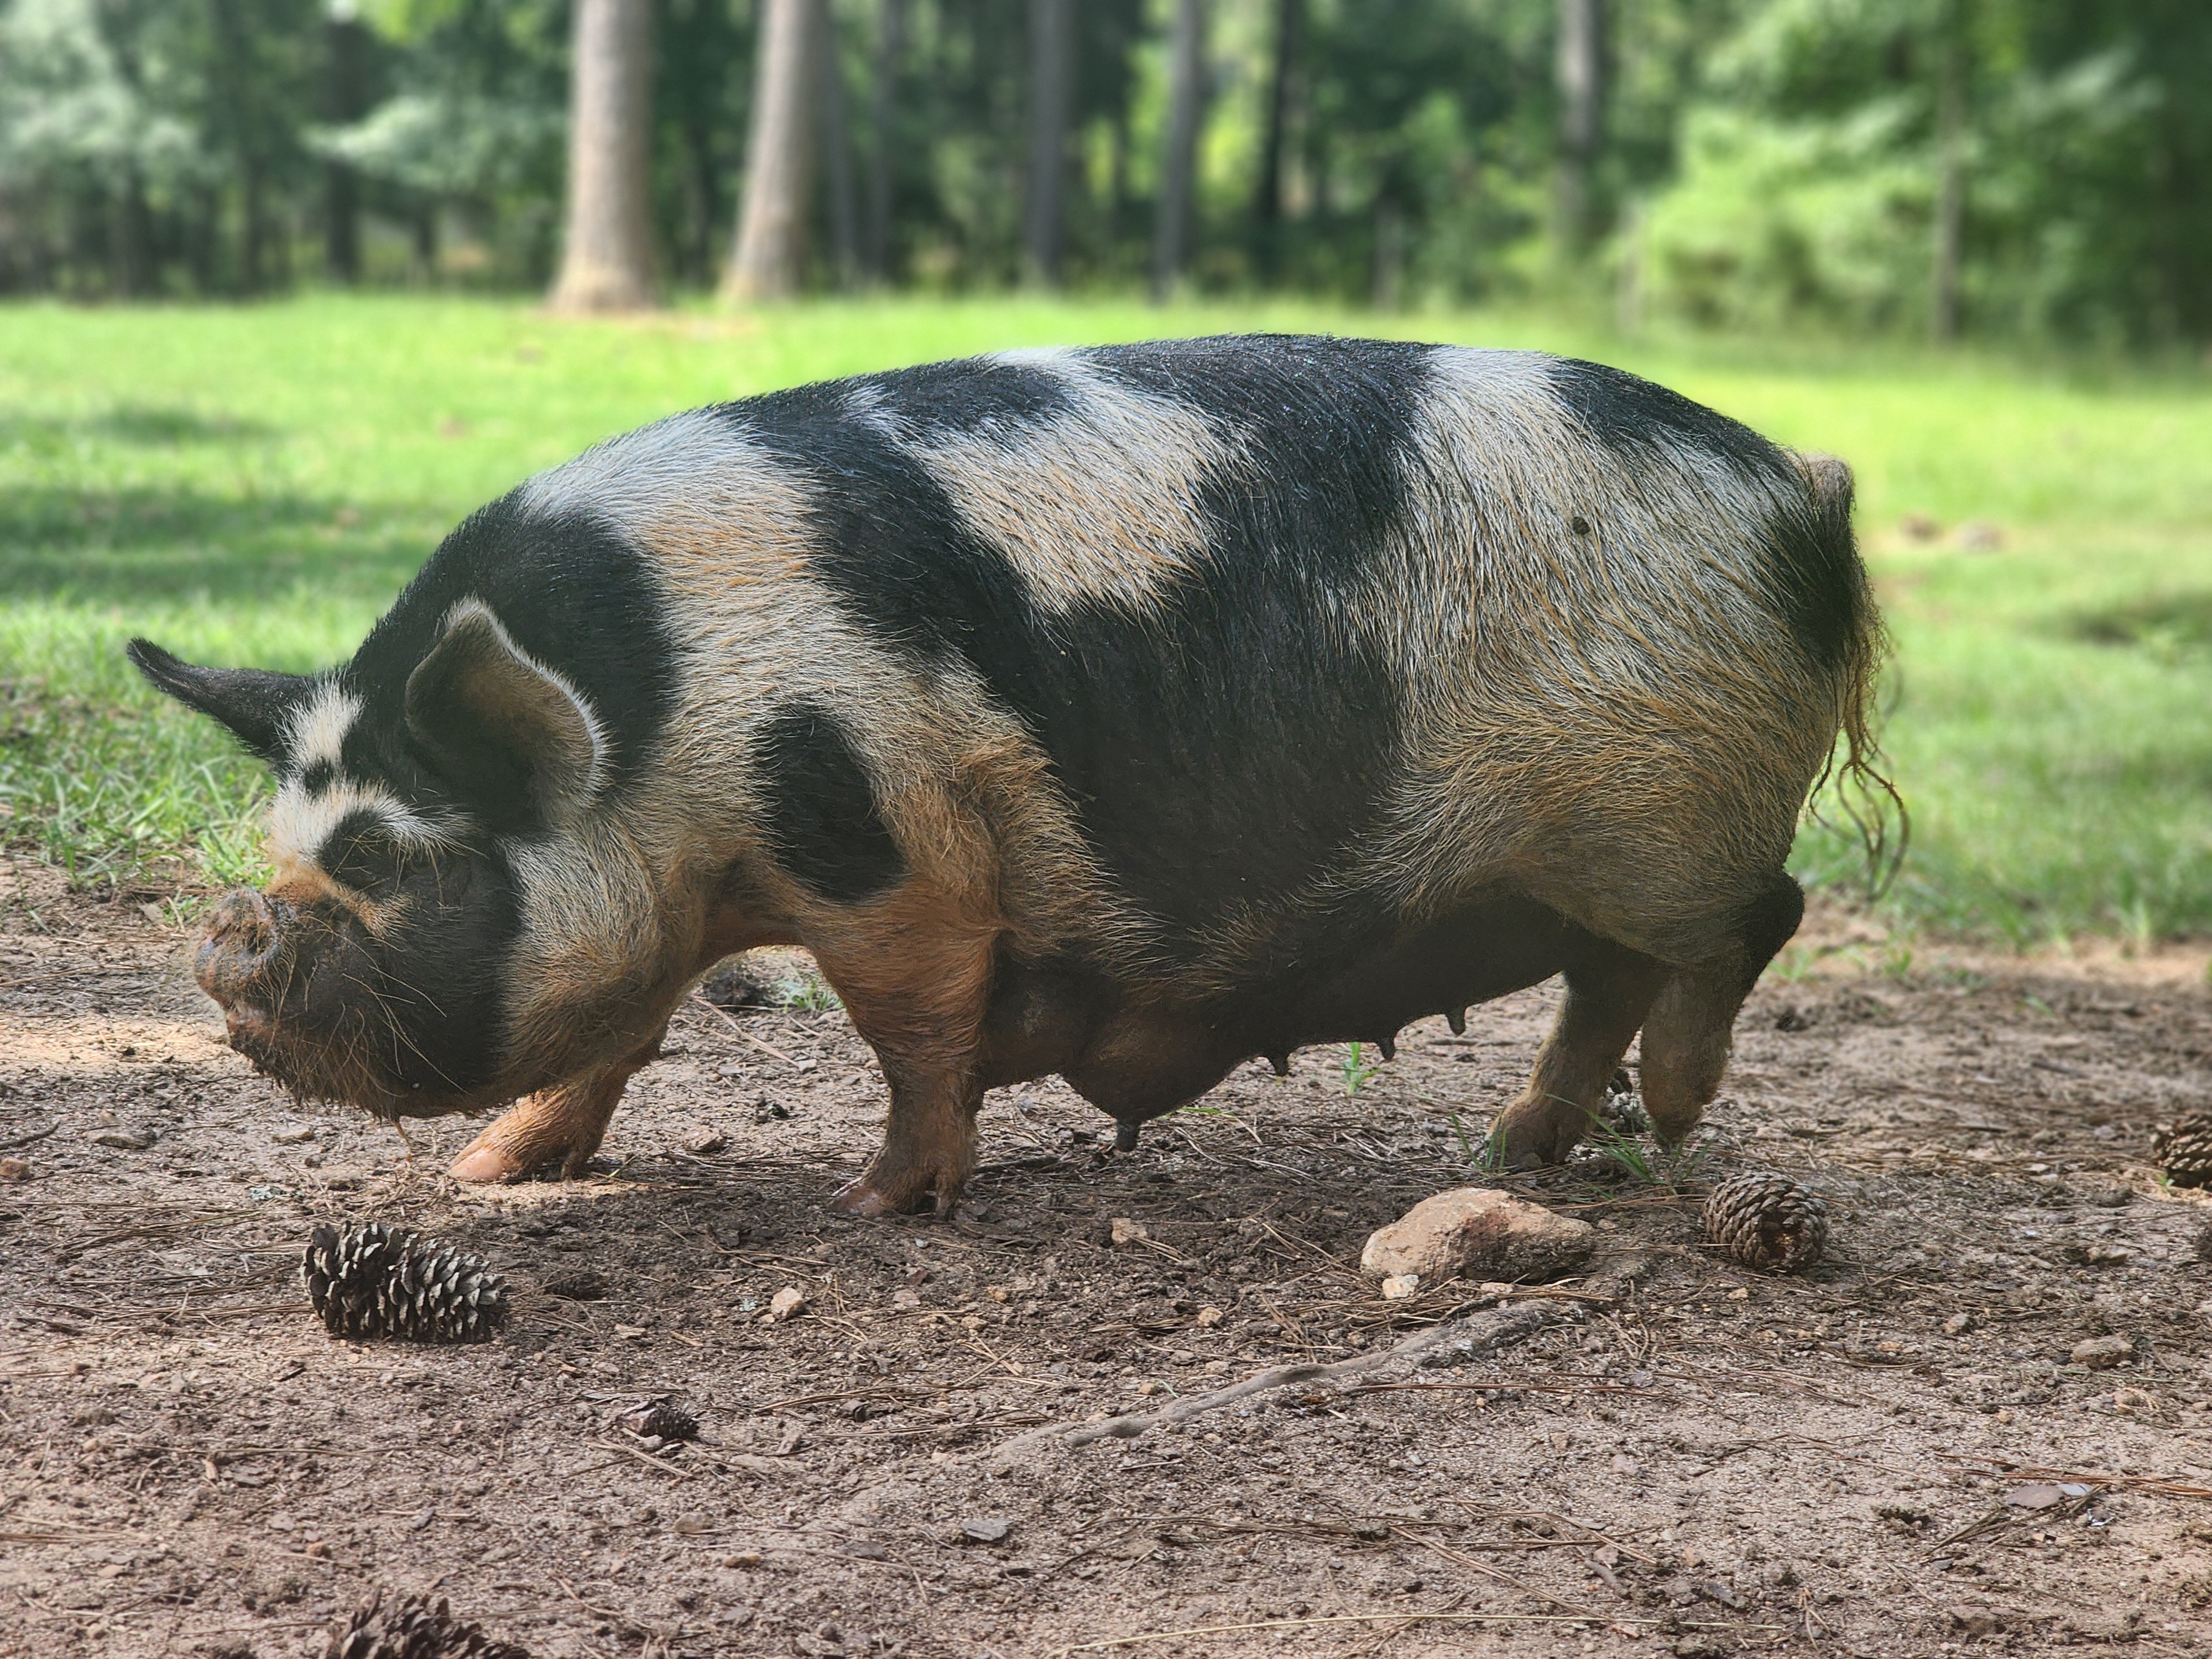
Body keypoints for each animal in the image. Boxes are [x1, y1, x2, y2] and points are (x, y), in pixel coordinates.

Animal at [131, 335, 1886, 1215]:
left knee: (1760, 920)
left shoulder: (889, 842)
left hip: (1663, 813)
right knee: (1610, 977)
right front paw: (491, 1176)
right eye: (290, 842)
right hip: (1595, 855)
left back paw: (1664, 1126)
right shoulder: (690, 893)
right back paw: (1516, 1156)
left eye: (390, 856)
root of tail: (1797, 487)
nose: (230, 930)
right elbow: (617, 1035)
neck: (676, 720)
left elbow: (913, 1026)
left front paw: (873, 1205)